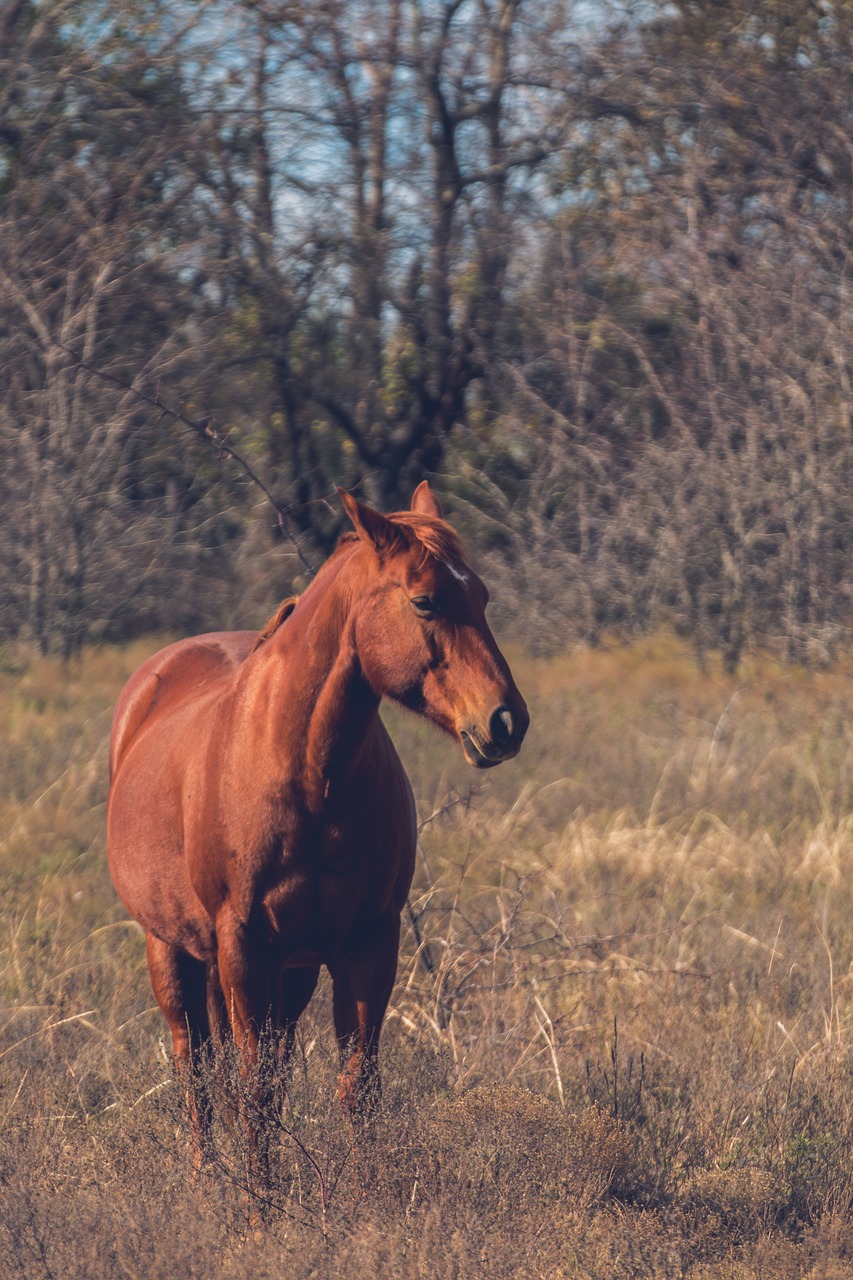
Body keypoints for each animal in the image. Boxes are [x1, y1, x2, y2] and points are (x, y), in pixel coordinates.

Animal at [104, 481, 525, 1162]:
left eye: (482, 596)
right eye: (425, 600)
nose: (507, 722)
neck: (307, 777)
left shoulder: (366, 944)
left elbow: (356, 1090)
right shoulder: (245, 947)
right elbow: (252, 1093)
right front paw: (256, 1194)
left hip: (292, 970)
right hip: (169, 948)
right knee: (194, 1065)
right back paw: (205, 1174)